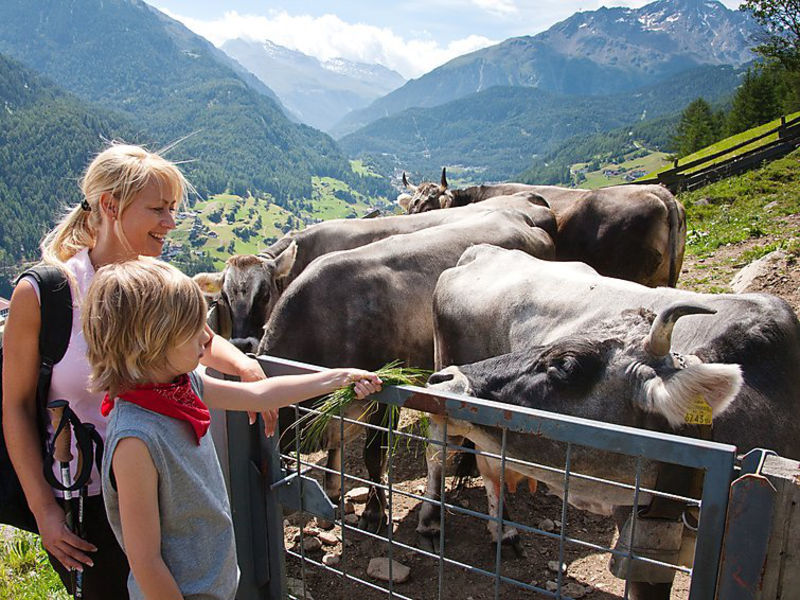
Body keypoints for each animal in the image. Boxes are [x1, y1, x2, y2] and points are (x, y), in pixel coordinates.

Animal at [418, 244, 800, 600]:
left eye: (566, 364)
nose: (447, 378)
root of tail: (482, 252)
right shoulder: (640, 552)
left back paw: (504, 531)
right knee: (439, 453)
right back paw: (434, 520)